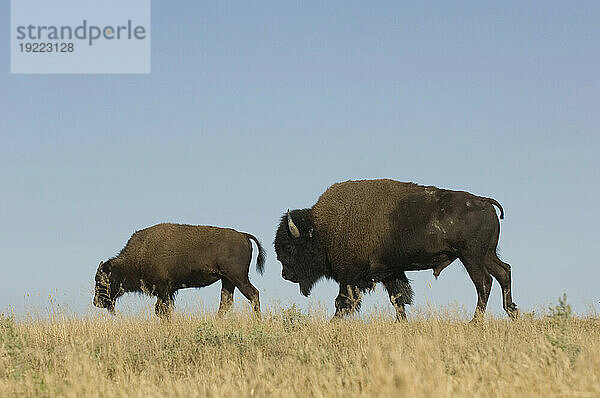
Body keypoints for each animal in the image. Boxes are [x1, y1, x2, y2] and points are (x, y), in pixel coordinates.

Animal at [93, 222, 264, 318]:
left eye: (101, 281)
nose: (96, 302)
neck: (141, 252)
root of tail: (243, 235)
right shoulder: (167, 291)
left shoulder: (163, 289)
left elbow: (162, 310)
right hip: (227, 280)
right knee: (226, 301)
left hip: (238, 277)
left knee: (253, 294)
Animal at [274, 179, 516, 322]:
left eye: (289, 247)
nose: (285, 274)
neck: (322, 229)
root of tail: (484, 202)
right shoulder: (390, 272)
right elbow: (398, 298)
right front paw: (402, 323)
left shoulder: (350, 276)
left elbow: (343, 302)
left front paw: (332, 324)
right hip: (487, 254)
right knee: (504, 272)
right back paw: (512, 312)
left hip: (471, 256)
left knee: (484, 282)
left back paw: (475, 321)